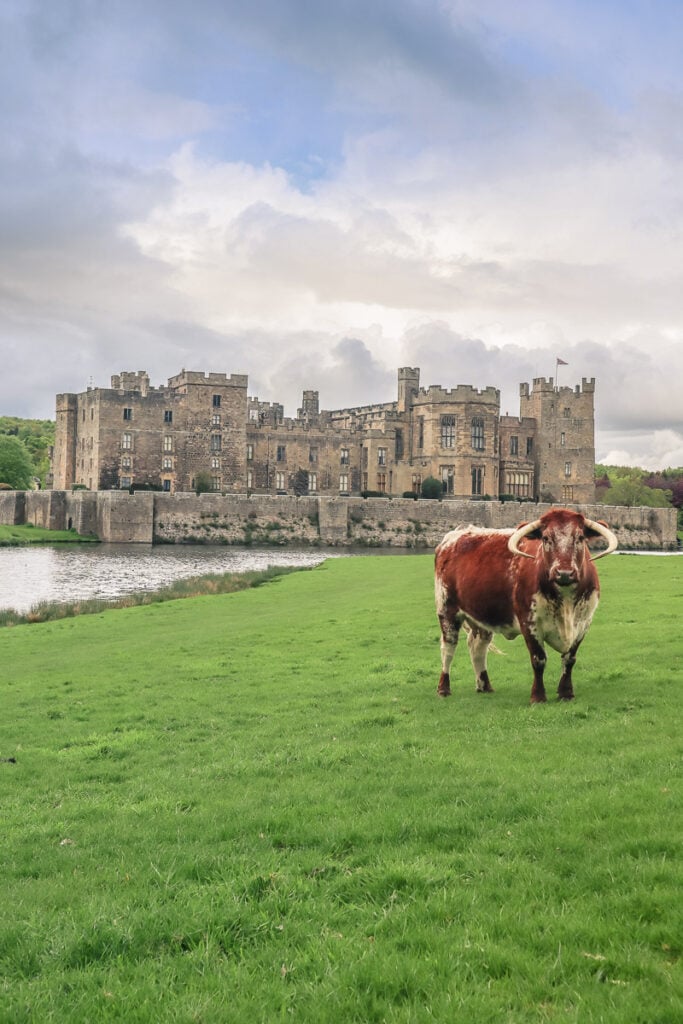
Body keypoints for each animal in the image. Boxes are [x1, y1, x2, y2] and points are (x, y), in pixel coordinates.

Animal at [438, 505, 618, 704]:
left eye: (580, 538)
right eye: (546, 538)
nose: (564, 573)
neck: (565, 603)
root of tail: (455, 535)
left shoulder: (583, 623)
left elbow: (570, 659)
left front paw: (566, 693)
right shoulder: (529, 623)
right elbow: (539, 659)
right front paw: (538, 696)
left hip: (481, 617)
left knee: (478, 647)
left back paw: (484, 686)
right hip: (447, 611)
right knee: (448, 648)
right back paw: (444, 688)